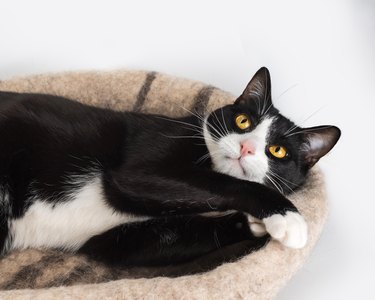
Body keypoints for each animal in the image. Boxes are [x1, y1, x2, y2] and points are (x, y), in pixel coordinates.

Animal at [0, 68, 340, 268]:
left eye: (278, 151)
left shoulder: (118, 239)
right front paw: (288, 216)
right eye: (243, 121)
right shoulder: (140, 168)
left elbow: (163, 239)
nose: (246, 147)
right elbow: (222, 183)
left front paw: (254, 224)